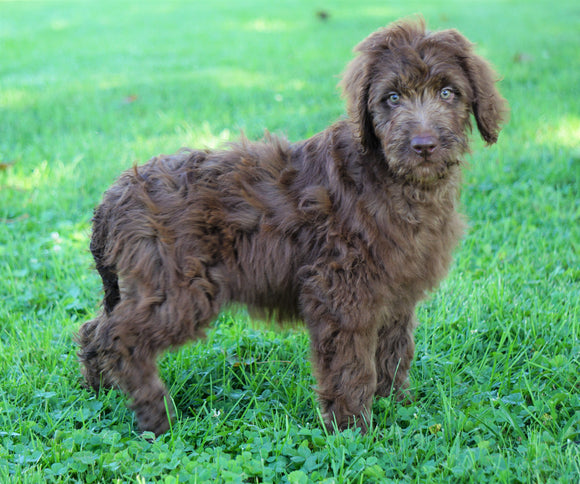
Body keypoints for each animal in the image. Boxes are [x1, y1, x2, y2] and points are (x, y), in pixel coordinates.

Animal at [78, 18, 508, 434]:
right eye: (392, 98)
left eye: (448, 92)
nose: (423, 145)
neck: (393, 179)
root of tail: (112, 199)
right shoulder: (340, 289)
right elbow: (352, 365)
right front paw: (352, 429)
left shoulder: (396, 290)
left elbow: (394, 351)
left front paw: (397, 406)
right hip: (177, 287)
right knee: (121, 337)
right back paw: (156, 416)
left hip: (144, 285)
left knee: (95, 329)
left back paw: (98, 389)